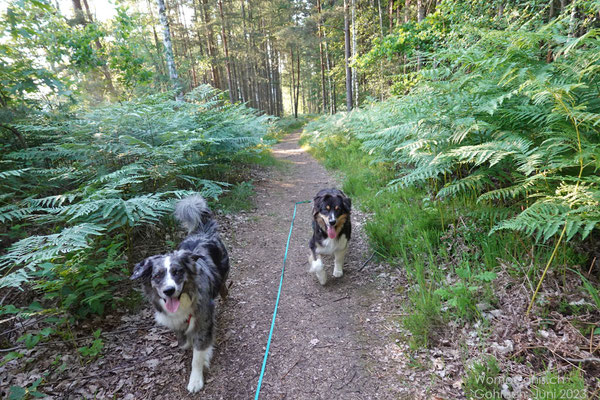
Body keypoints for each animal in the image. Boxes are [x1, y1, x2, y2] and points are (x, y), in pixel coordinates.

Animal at [131, 195, 230, 392]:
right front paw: (190, 345)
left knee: (223, 284)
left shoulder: (203, 319)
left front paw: (196, 379)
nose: (169, 291)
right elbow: (184, 342)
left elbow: (198, 354)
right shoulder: (176, 322)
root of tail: (203, 232)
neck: (185, 298)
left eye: (177, 272)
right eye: (157, 276)